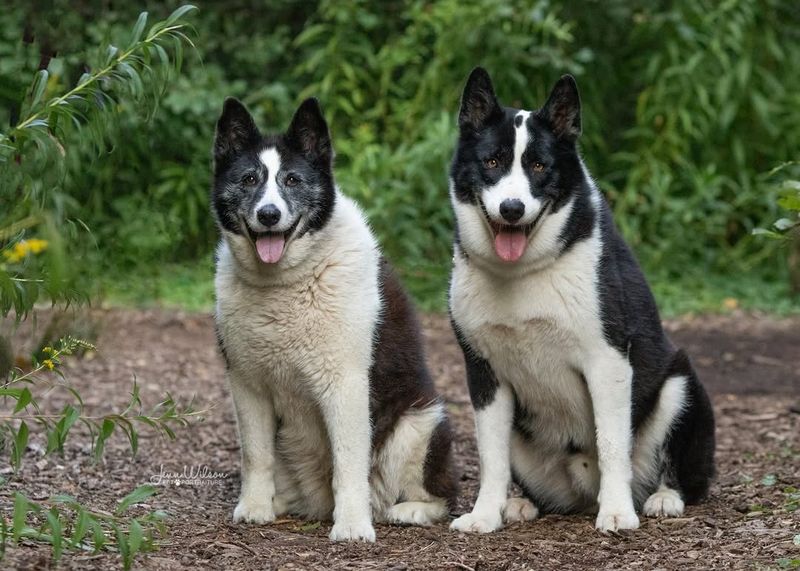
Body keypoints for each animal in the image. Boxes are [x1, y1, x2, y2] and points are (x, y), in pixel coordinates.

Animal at [212, 97, 456, 540]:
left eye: (292, 180)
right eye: (249, 179)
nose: (268, 214)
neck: (286, 281)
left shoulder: (345, 385)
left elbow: (348, 462)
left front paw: (353, 526)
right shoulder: (247, 385)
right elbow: (255, 455)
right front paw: (253, 507)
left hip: (420, 424)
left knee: (441, 493)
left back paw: (406, 511)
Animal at [446, 69, 716, 536]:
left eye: (539, 166)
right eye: (492, 162)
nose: (512, 209)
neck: (523, 273)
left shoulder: (607, 361)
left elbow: (611, 444)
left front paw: (617, 513)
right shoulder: (483, 372)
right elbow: (490, 456)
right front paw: (484, 514)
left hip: (680, 384)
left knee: (675, 470)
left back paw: (663, 497)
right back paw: (520, 504)